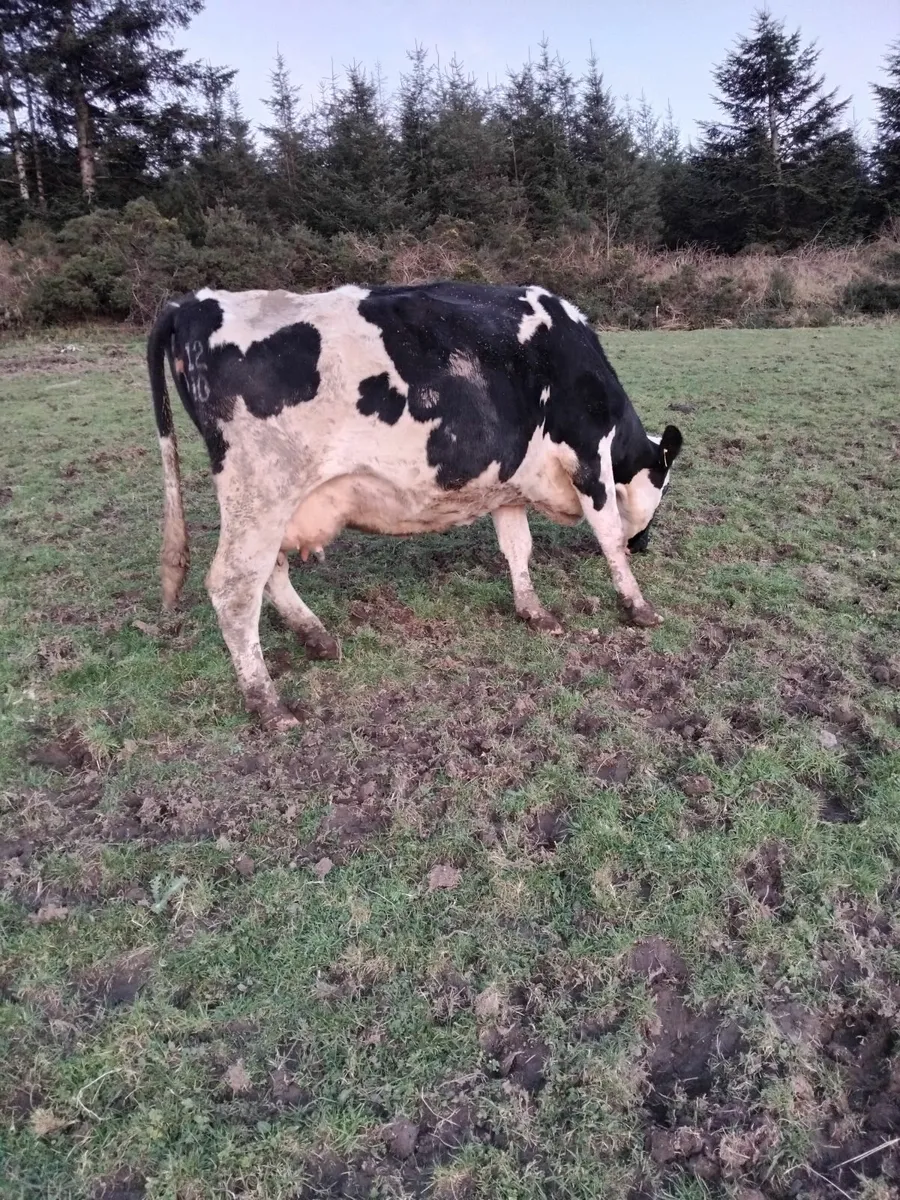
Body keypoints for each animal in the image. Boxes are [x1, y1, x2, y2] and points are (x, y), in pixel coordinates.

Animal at [147, 281, 683, 730]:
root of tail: (193, 302)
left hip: (274, 502)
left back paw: (316, 636)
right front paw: (638, 606)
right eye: (664, 483)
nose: (646, 545)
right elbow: (608, 536)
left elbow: (518, 547)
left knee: (270, 571)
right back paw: (268, 703)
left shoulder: (507, 483)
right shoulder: (590, 457)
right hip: (262, 490)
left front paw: (534, 611)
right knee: (235, 587)